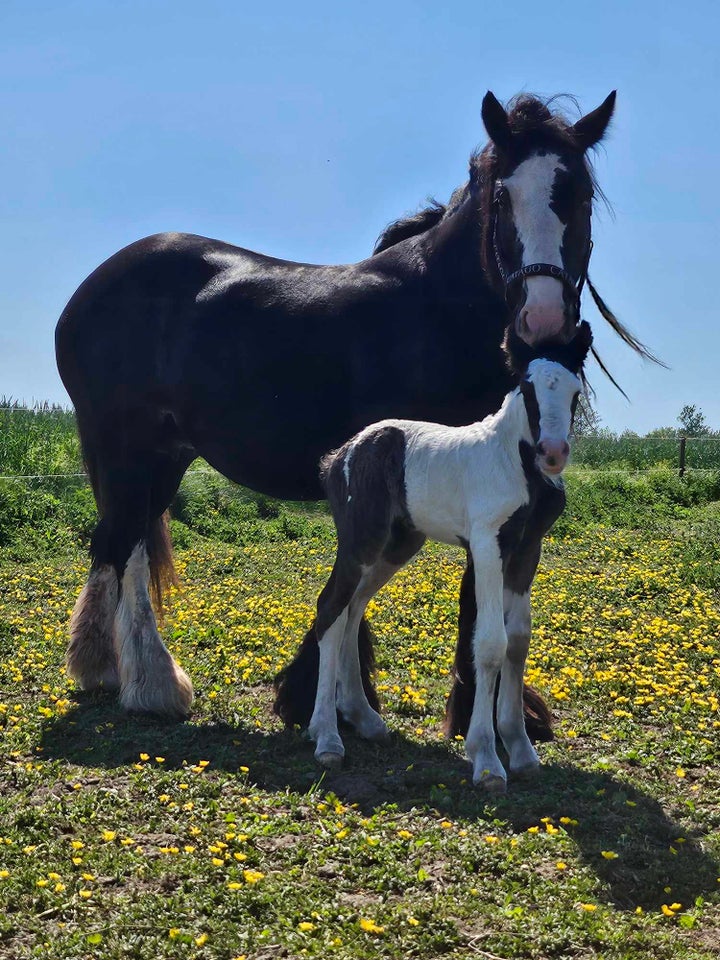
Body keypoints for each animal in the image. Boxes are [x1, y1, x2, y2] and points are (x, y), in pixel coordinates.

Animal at [304, 326, 592, 792]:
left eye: (574, 390)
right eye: (528, 388)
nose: (552, 452)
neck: (513, 460)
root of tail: (339, 456)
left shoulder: (527, 549)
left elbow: (519, 641)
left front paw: (520, 748)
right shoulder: (488, 542)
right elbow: (491, 643)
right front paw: (487, 760)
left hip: (398, 545)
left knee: (353, 607)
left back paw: (364, 718)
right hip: (361, 541)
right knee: (330, 607)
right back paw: (327, 737)